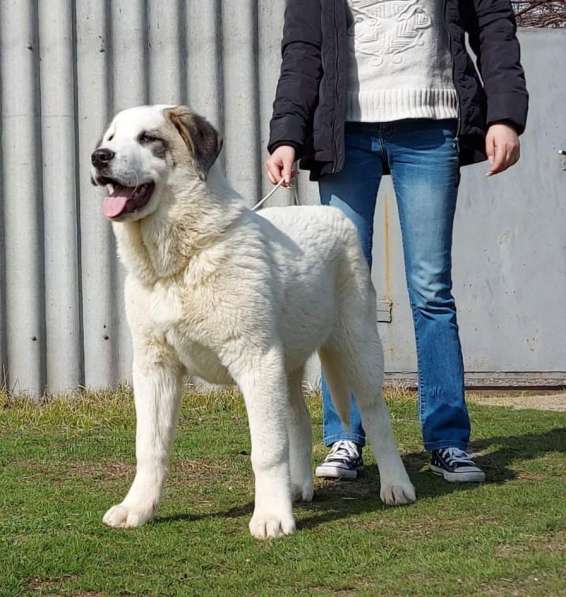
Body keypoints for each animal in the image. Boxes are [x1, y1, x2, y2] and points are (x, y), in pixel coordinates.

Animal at [90, 105, 418, 536]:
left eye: (148, 139)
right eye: (110, 139)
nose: (99, 158)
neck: (181, 262)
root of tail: (330, 212)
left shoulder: (255, 360)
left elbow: (267, 449)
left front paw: (271, 516)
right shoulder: (154, 367)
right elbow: (150, 445)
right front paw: (138, 508)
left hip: (356, 347)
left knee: (375, 414)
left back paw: (395, 485)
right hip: (287, 363)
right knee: (298, 419)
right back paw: (298, 488)